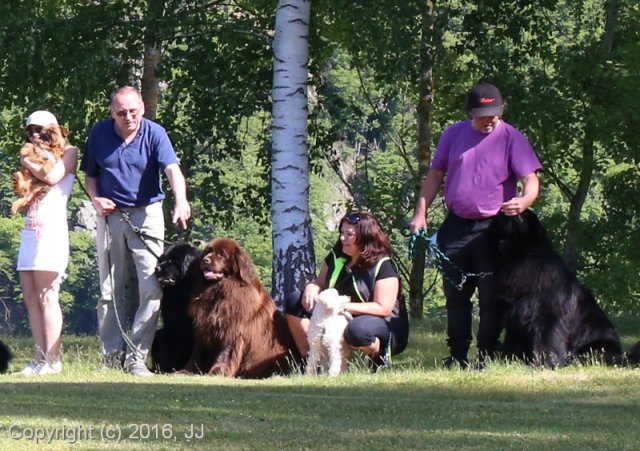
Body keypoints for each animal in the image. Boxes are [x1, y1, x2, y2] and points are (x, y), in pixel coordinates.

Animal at [180, 238, 300, 380]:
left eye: (221, 255)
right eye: (208, 251)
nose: (205, 260)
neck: (219, 291)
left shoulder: (231, 329)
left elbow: (225, 353)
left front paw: (217, 371)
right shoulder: (203, 327)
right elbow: (197, 353)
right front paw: (186, 371)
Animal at [488, 211, 624, 368]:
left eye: (524, 215)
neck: (522, 258)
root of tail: (622, 355)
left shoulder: (548, 317)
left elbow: (547, 342)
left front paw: (545, 363)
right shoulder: (514, 314)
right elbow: (513, 341)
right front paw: (509, 361)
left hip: (596, 347)